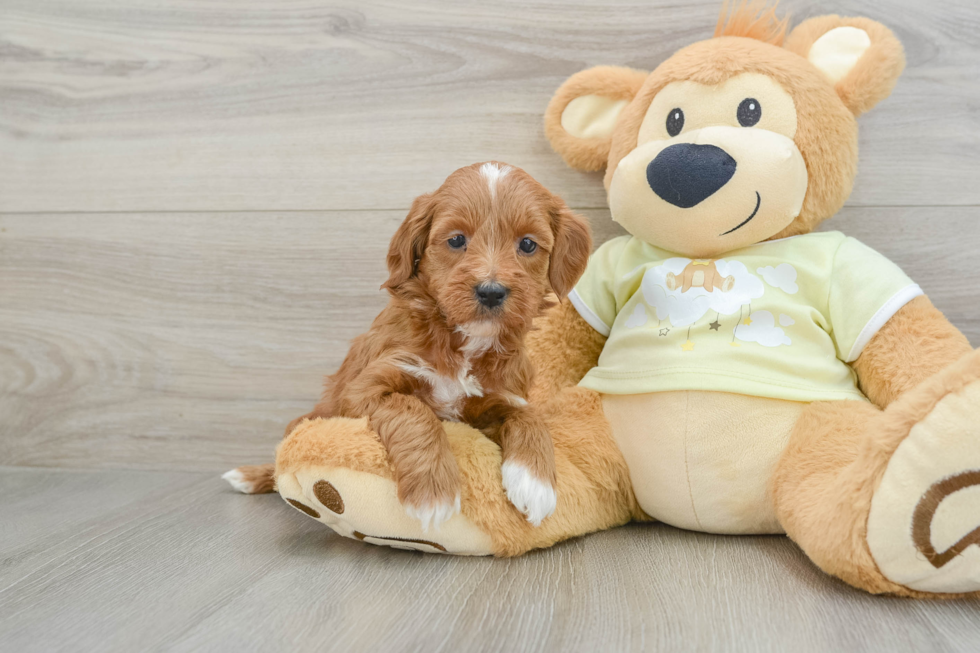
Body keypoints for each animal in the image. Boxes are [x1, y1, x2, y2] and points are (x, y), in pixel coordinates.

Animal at [224, 160, 588, 528]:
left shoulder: (504, 395)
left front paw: (536, 484)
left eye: (527, 244)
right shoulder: (363, 390)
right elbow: (412, 410)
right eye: (456, 239)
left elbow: (530, 418)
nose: (490, 291)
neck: (462, 341)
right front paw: (434, 493)